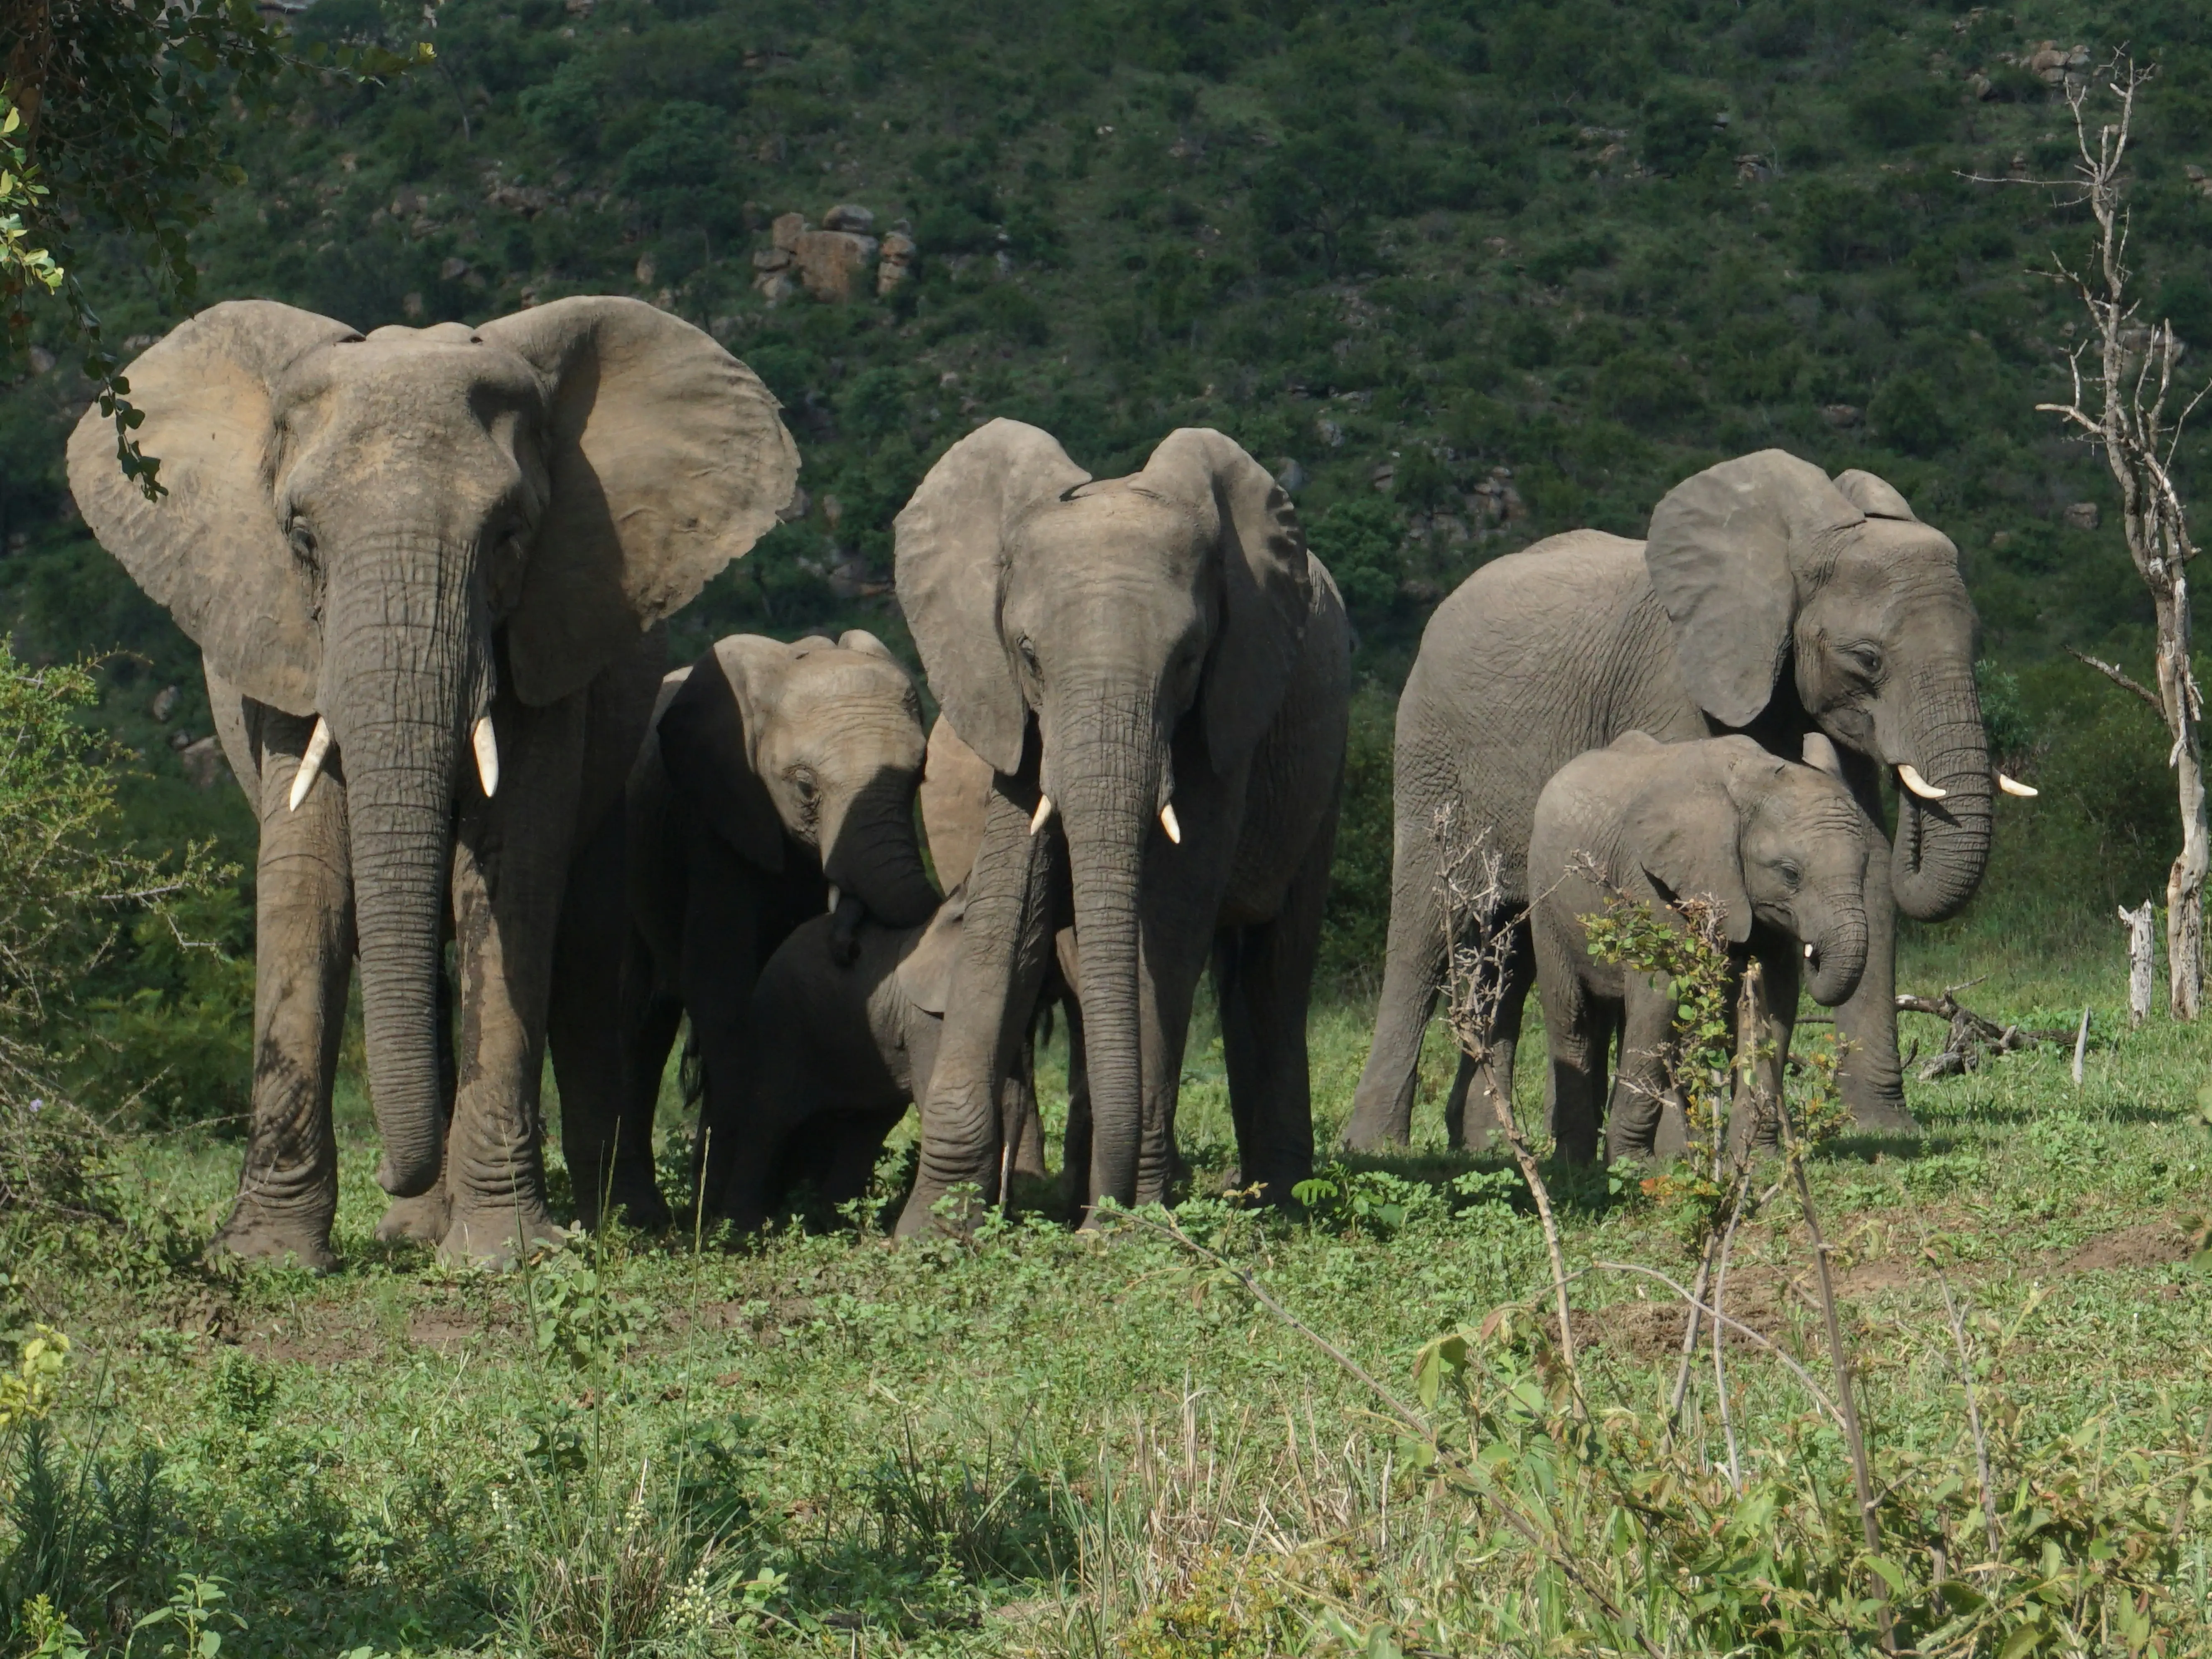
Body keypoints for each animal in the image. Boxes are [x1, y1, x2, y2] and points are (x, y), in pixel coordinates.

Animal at [66, 298, 797, 1267]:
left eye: (509, 535)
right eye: (301, 539)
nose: (390, 1169)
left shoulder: (546, 639)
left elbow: (512, 878)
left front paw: (505, 1254)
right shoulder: (280, 643)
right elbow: (306, 885)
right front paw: (264, 1256)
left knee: (580, 954)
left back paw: (614, 1219)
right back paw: (417, 1229)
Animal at [614, 630, 941, 1228]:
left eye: (919, 778)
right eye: (806, 787)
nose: (848, 943)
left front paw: (797, 1197)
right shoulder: (717, 822)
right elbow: (723, 985)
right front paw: (729, 1213)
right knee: (639, 1018)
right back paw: (648, 1211)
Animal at [892, 420, 1350, 1231]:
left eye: (1189, 657)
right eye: (1029, 654)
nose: (1104, 1217)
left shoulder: (1227, 705)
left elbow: (1167, 918)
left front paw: (1125, 1221)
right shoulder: (1009, 713)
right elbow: (1010, 907)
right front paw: (928, 1232)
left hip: (1323, 766)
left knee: (1275, 965)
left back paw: (1277, 1201)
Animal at [1528, 732, 1870, 1164]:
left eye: (1866, 867)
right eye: (1790, 874)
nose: (1813, 951)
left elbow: (1773, 1002)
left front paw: (1758, 1159)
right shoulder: (1652, 883)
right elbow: (1659, 998)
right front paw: (1632, 1166)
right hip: (1547, 902)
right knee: (1572, 1018)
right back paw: (1575, 1162)